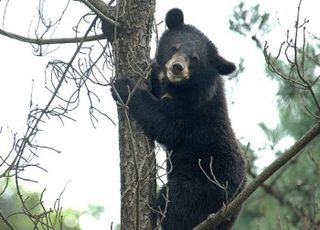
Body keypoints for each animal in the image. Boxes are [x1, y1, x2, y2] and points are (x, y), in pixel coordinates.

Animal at [111, 8, 246, 229]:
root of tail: (230, 214)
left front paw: (123, 87)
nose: (176, 67)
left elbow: (163, 122)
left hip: (201, 191)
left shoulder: (191, 112)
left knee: (175, 204)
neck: (180, 88)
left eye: (195, 58)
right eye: (174, 47)